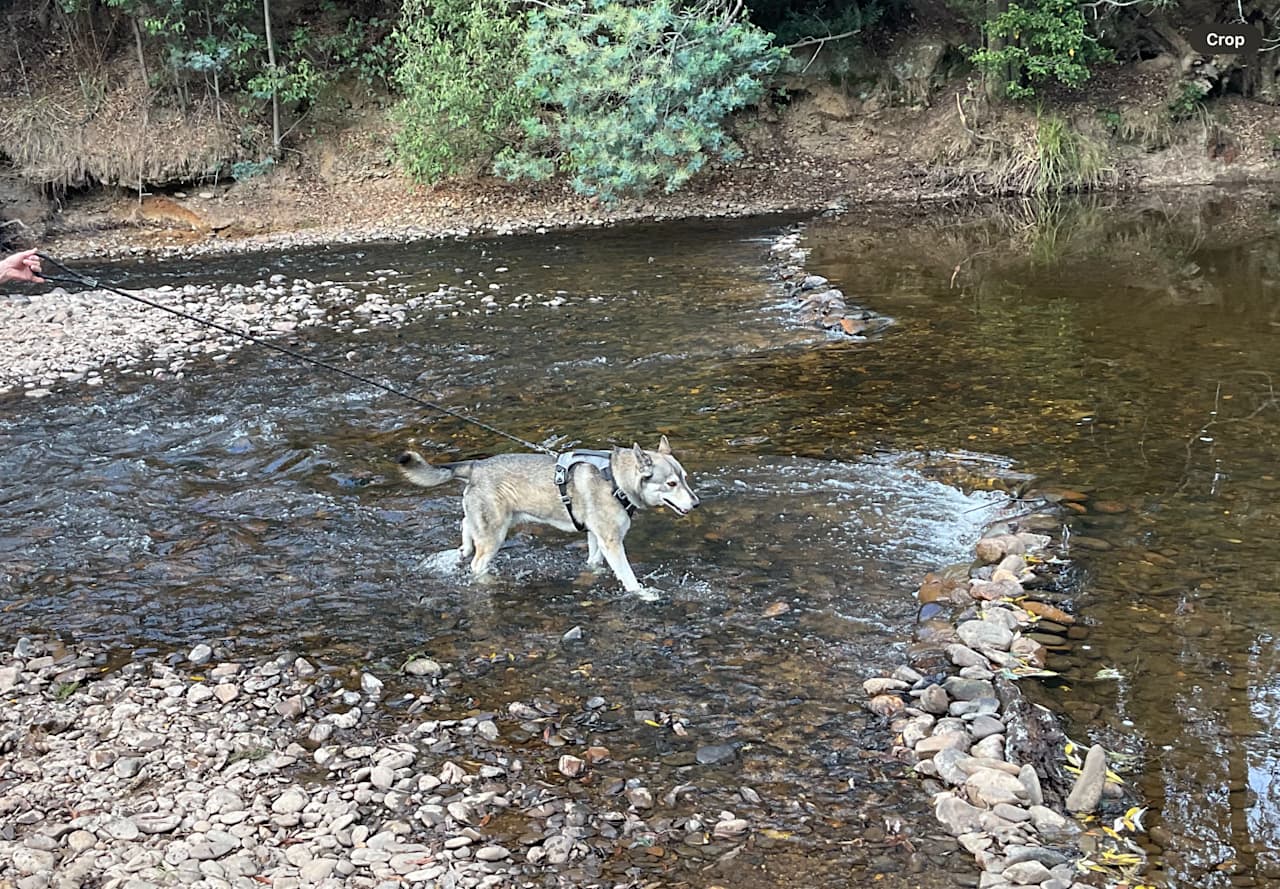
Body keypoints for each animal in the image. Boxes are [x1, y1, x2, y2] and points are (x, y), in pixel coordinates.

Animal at [399, 437, 701, 598]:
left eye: (685, 478)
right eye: (671, 483)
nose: (696, 503)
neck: (616, 480)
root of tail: (475, 466)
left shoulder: (595, 537)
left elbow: (594, 563)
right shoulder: (611, 542)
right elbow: (628, 577)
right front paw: (643, 594)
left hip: (493, 522)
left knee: (465, 526)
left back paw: (462, 548)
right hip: (495, 535)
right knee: (476, 563)